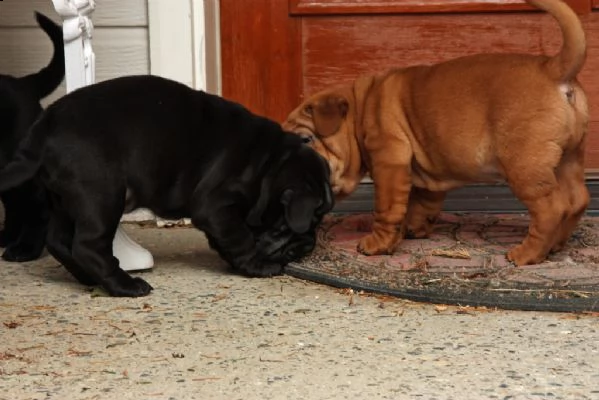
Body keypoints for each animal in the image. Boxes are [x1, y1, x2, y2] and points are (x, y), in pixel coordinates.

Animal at [0, 11, 63, 262]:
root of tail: (23, 83)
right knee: (15, 205)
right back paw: (8, 237)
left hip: (21, 165)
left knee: (37, 208)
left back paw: (25, 248)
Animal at [0, 75, 336, 296]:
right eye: (305, 222)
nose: (309, 244)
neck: (268, 166)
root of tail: (46, 124)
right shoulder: (216, 207)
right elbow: (240, 238)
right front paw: (257, 266)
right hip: (102, 195)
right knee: (87, 245)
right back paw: (125, 285)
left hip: (64, 200)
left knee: (58, 240)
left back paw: (89, 279)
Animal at [286, 0, 592, 268]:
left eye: (307, 139)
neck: (361, 107)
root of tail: (552, 68)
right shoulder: (423, 170)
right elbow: (422, 203)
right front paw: (414, 229)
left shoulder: (389, 160)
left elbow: (387, 208)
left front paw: (378, 244)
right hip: (569, 158)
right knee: (577, 200)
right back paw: (556, 245)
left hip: (524, 166)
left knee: (551, 208)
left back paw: (527, 254)